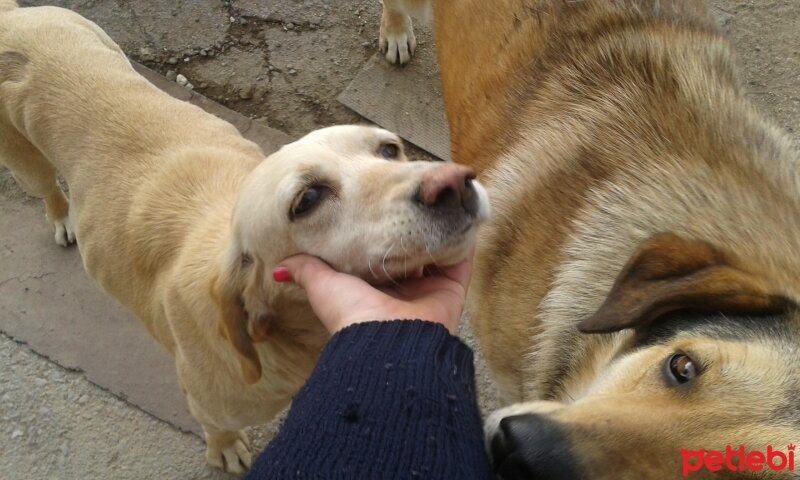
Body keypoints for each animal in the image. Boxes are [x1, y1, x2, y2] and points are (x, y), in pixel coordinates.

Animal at [0, 0, 490, 472]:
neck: (298, 339)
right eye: (308, 199)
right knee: (47, 188)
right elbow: (216, 427)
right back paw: (62, 217)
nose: (454, 182)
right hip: (25, 165)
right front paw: (225, 448)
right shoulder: (208, 403)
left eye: (391, 149)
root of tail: (11, 17)